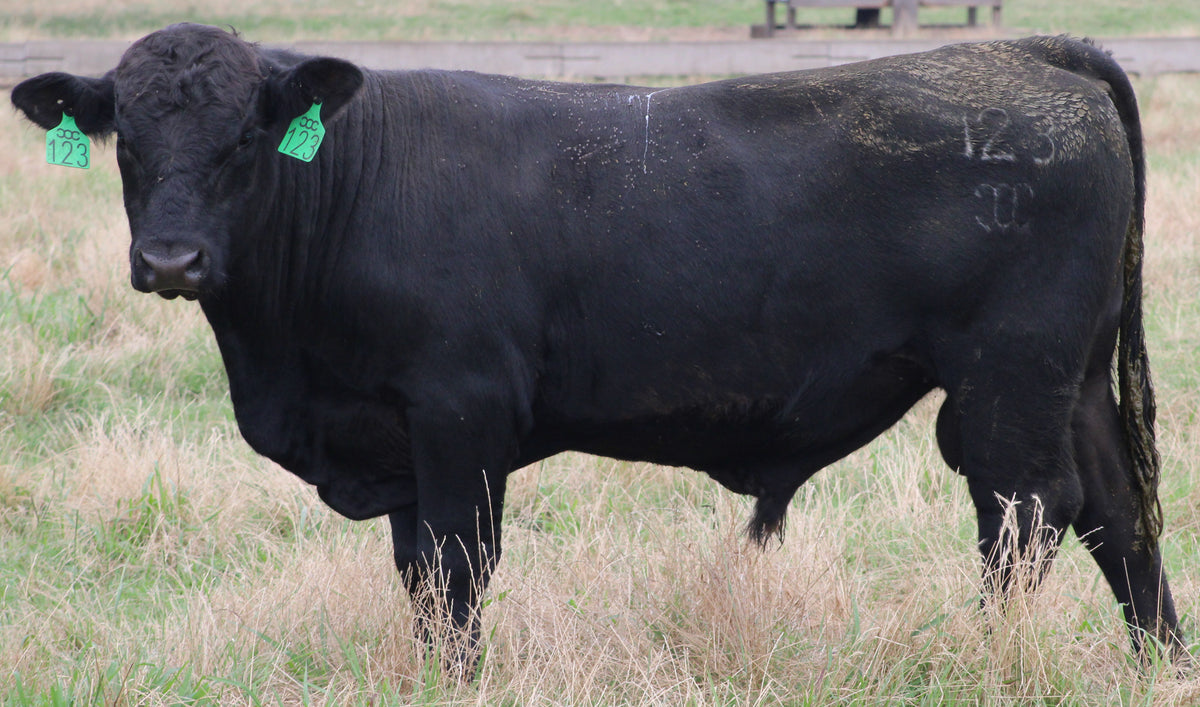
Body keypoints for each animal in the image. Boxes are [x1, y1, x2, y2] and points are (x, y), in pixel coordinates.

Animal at [14, 23, 1185, 662]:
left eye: (248, 136)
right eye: (127, 138)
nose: (172, 259)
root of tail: (1035, 52)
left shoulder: (458, 414)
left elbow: (457, 573)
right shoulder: (399, 443)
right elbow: (418, 578)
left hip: (1007, 381)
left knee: (1026, 515)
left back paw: (995, 657)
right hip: (1073, 377)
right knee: (1118, 515)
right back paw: (1160, 667)